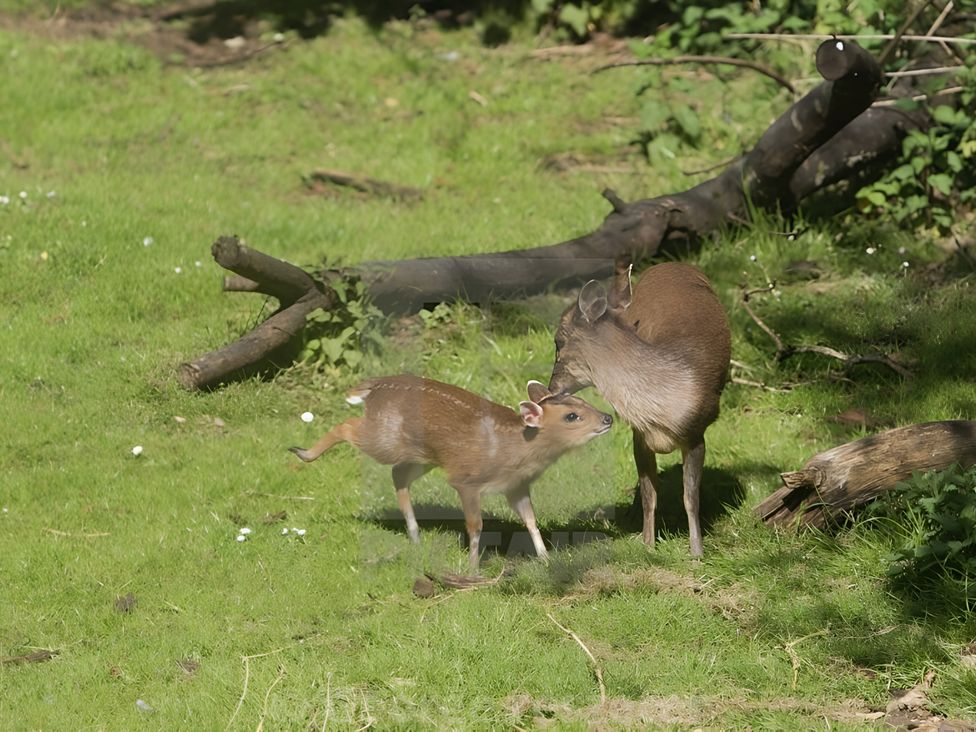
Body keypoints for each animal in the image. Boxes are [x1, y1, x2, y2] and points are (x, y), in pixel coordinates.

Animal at [289, 375, 613, 572]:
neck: (515, 450)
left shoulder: (516, 486)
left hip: (423, 455)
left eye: (582, 401)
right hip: (384, 439)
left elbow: (531, 520)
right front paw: (472, 566)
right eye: (572, 416)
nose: (608, 418)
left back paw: (415, 535)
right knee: (346, 426)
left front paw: (545, 558)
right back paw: (303, 452)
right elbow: (476, 526)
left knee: (398, 475)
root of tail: (374, 387)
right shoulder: (466, 479)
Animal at [547, 261, 731, 558]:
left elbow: (690, 497)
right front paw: (648, 544)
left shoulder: (696, 432)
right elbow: (648, 493)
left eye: (557, 342)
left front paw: (697, 552)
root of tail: (674, 263)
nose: (551, 388)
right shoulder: (639, 434)